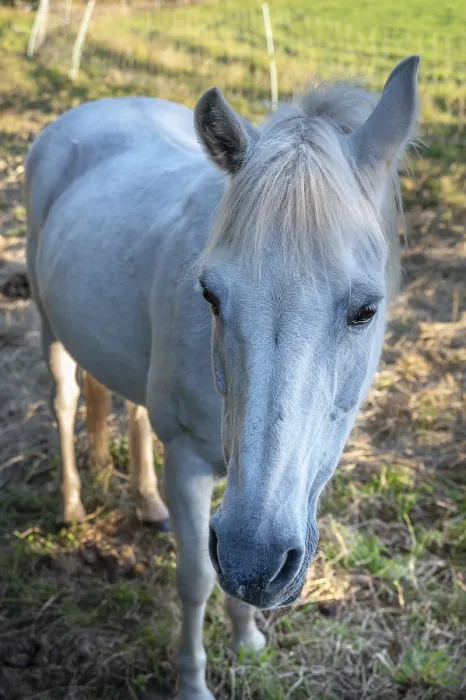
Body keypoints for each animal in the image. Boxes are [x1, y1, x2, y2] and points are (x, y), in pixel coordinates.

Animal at [25, 55, 419, 699]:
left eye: (366, 309)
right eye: (210, 295)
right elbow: (196, 580)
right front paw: (192, 682)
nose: (255, 560)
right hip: (47, 325)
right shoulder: (190, 464)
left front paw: (248, 639)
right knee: (63, 404)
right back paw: (74, 507)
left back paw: (145, 501)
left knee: (132, 414)